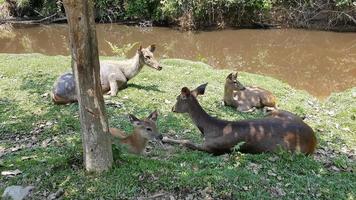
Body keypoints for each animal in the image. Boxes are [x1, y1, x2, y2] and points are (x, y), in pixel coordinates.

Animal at [164, 83, 318, 155]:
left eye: (178, 98)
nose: (172, 108)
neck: (209, 129)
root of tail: (314, 140)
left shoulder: (214, 147)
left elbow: (186, 142)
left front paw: (165, 138)